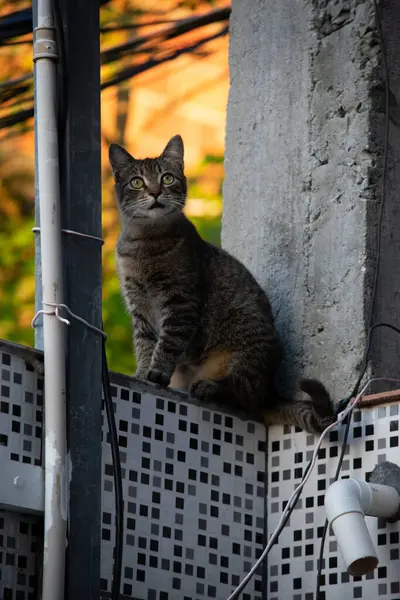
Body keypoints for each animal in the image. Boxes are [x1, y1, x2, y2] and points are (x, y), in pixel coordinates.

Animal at [109, 136, 334, 434]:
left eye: (167, 178)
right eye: (137, 182)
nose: (156, 192)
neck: (144, 244)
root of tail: (271, 390)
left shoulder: (181, 302)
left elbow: (167, 343)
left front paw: (156, 373)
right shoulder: (139, 305)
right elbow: (144, 343)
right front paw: (142, 373)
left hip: (242, 351)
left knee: (245, 396)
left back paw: (210, 387)